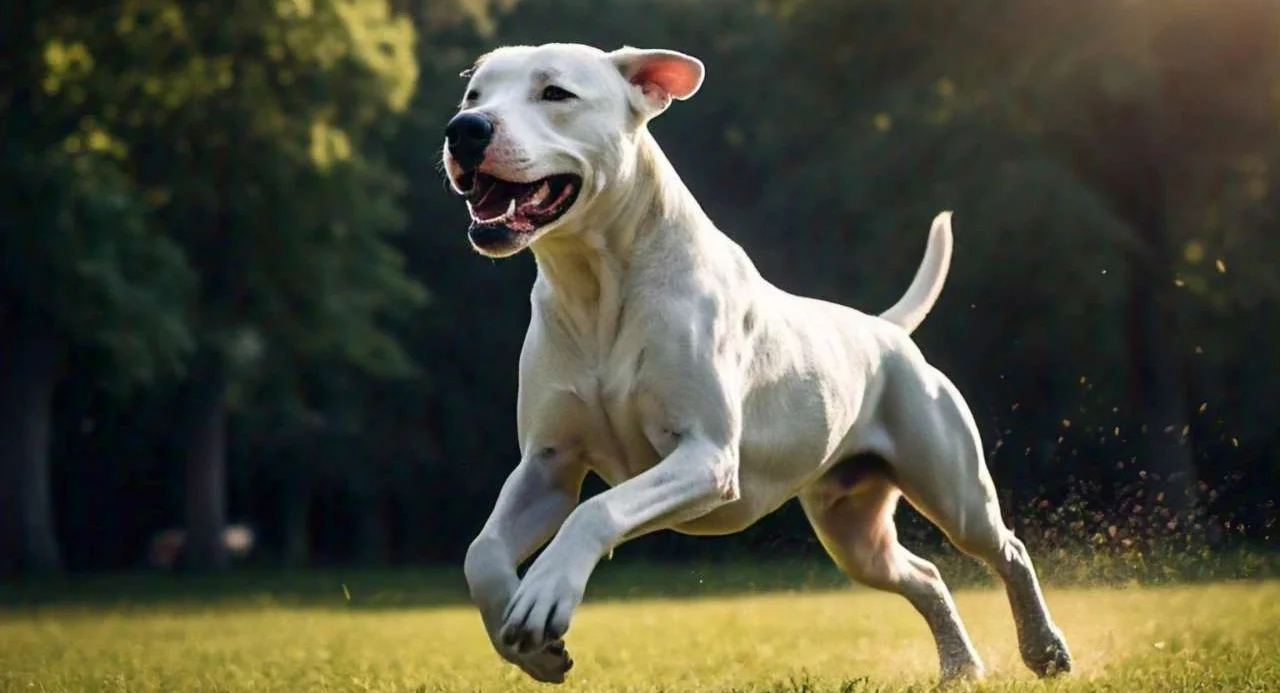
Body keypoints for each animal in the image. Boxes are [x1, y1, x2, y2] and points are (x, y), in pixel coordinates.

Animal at [440, 41, 1070, 681]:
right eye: (473, 95)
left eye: (555, 93)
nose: (465, 129)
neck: (595, 284)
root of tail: (886, 330)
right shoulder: (547, 466)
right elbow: (481, 553)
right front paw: (529, 642)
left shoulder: (705, 458)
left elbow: (596, 509)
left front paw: (546, 594)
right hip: (854, 532)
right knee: (925, 575)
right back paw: (960, 666)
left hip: (954, 490)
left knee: (1007, 548)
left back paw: (1045, 649)